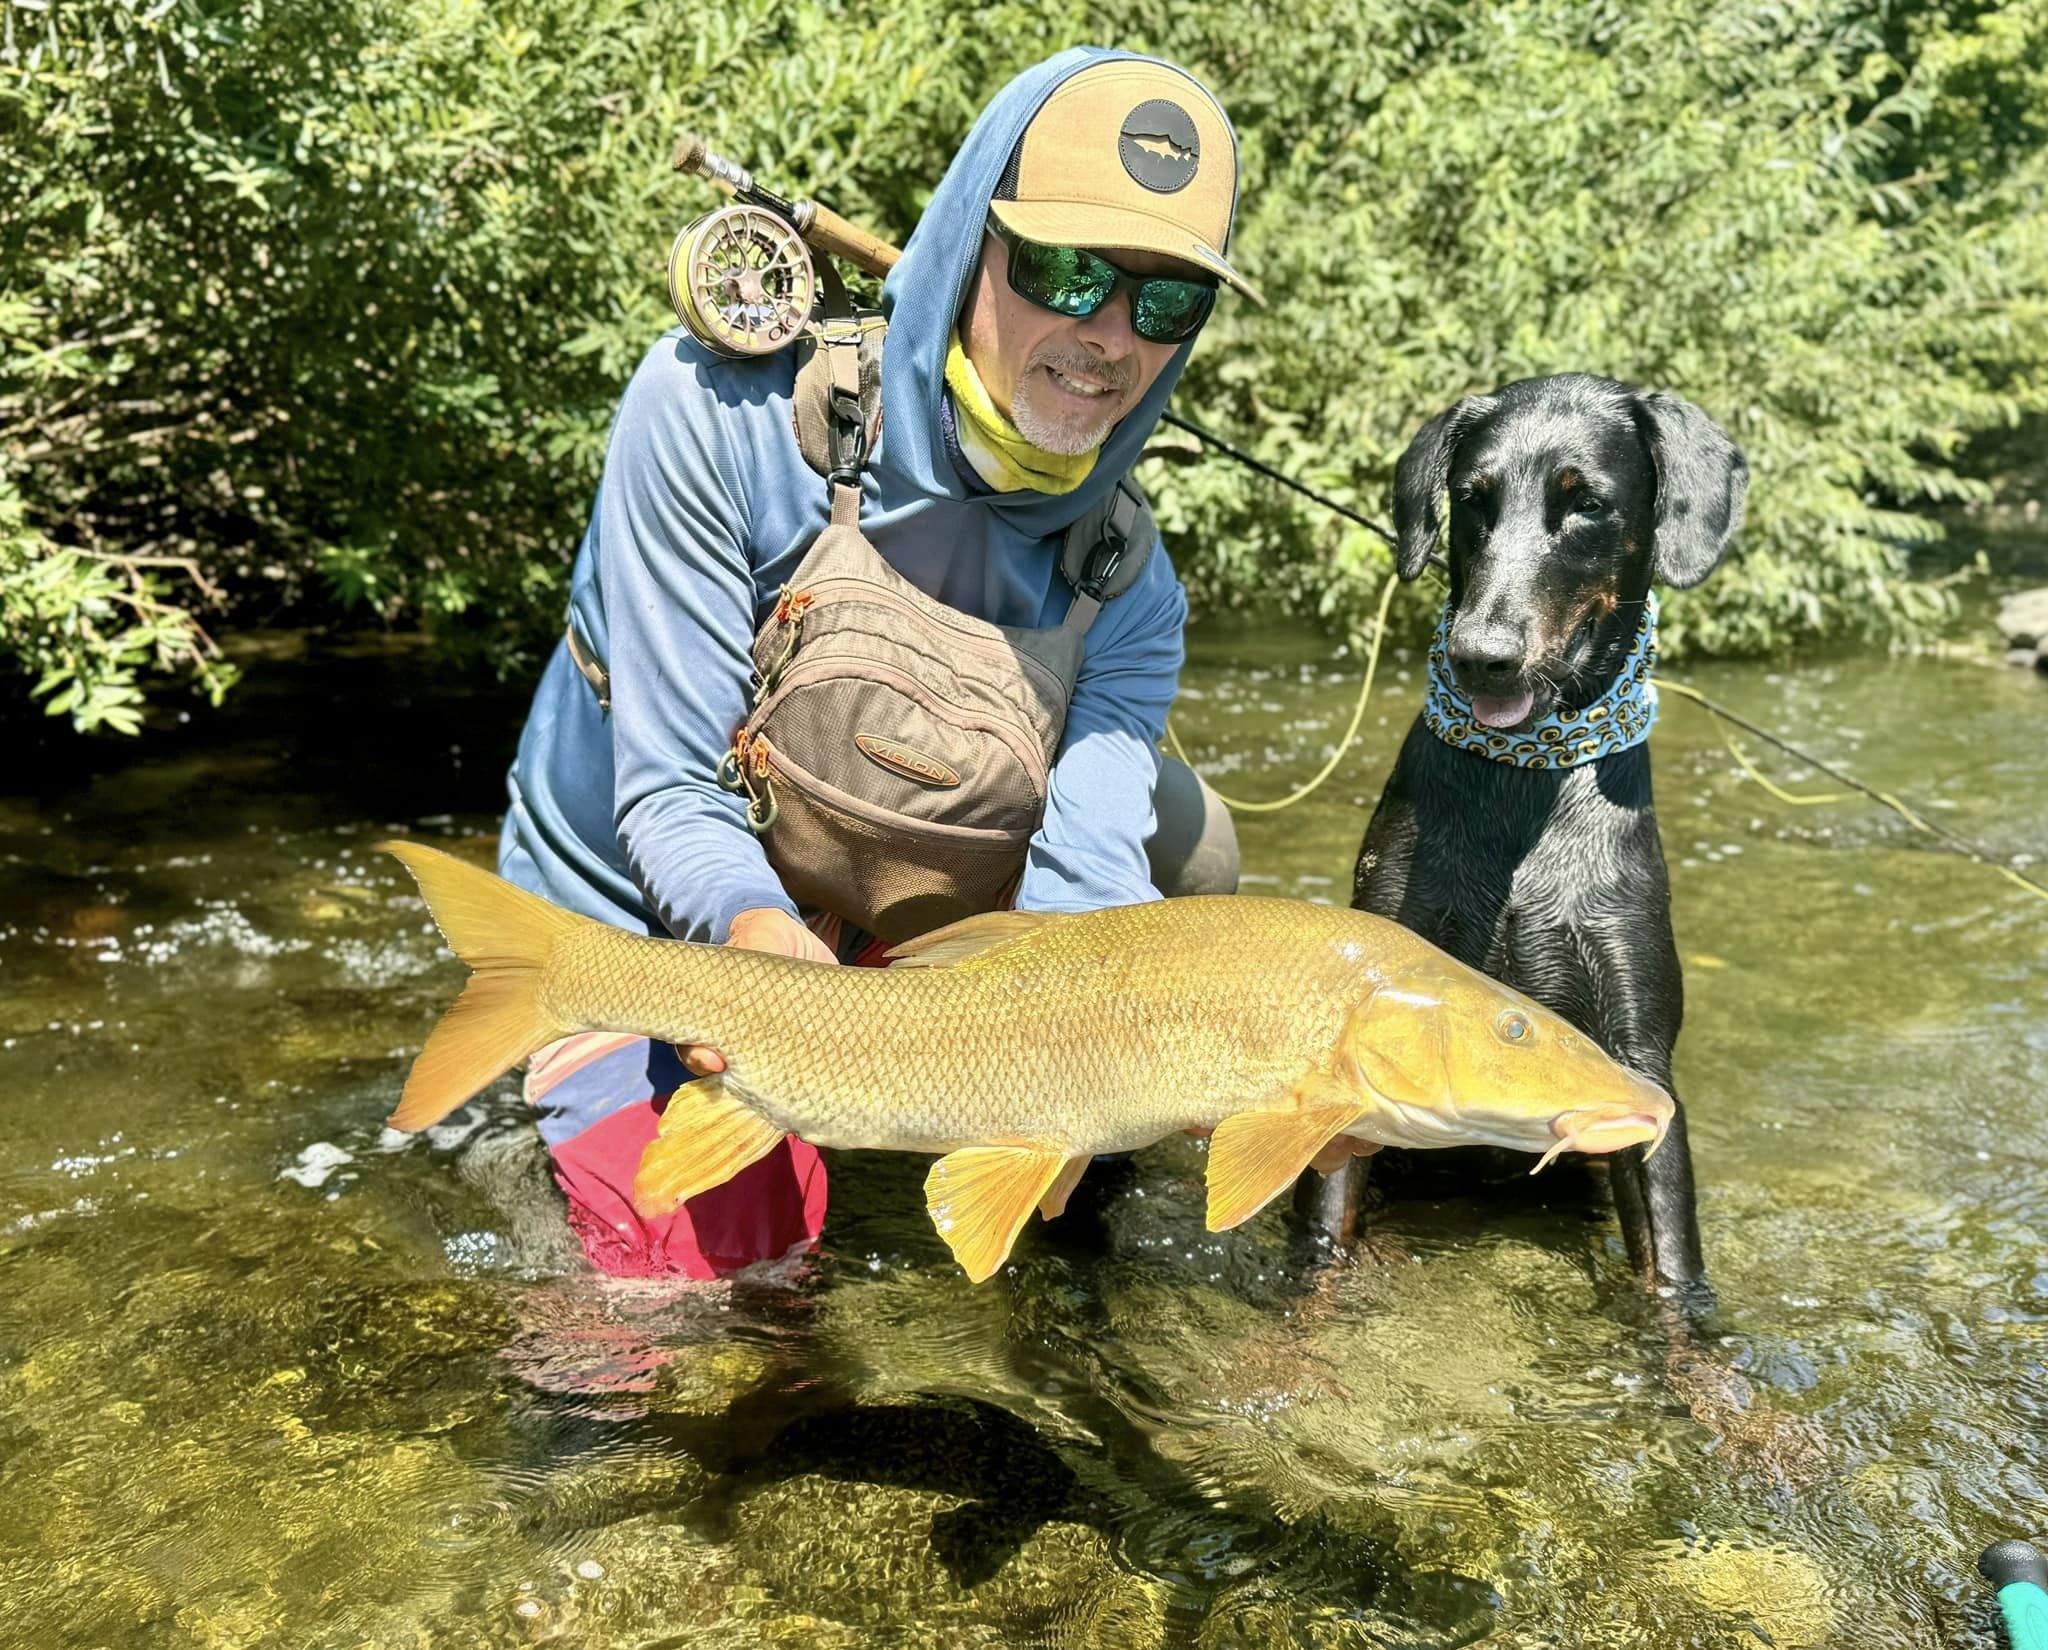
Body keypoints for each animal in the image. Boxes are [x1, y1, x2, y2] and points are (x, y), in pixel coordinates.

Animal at [1335, 374, 1753, 1301]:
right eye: (1470, 499)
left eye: (1586, 503)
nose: (1478, 655)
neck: (1525, 779)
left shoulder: (1638, 1053)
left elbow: (1672, 1272)